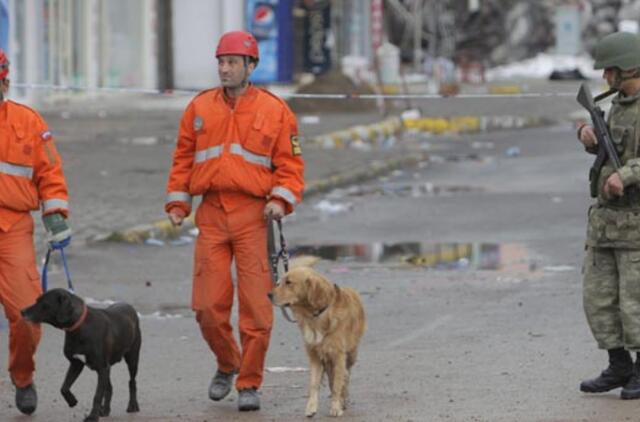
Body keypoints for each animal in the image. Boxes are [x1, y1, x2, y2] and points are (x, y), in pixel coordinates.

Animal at [21, 288, 141, 420]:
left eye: (44, 303)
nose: (22, 311)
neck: (79, 327)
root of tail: (129, 306)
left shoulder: (102, 367)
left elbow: (97, 395)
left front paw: (93, 416)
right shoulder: (76, 364)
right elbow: (64, 388)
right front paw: (72, 401)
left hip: (132, 359)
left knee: (132, 382)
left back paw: (132, 405)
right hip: (107, 369)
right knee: (109, 388)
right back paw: (105, 410)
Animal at [268, 268, 364, 416]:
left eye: (289, 282)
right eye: (279, 282)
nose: (269, 295)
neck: (316, 315)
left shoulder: (338, 356)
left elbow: (337, 384)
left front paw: (335, 407)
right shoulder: (315, 357)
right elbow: (314, 384)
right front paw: (311, 408)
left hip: (351, 354)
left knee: (346, 375)